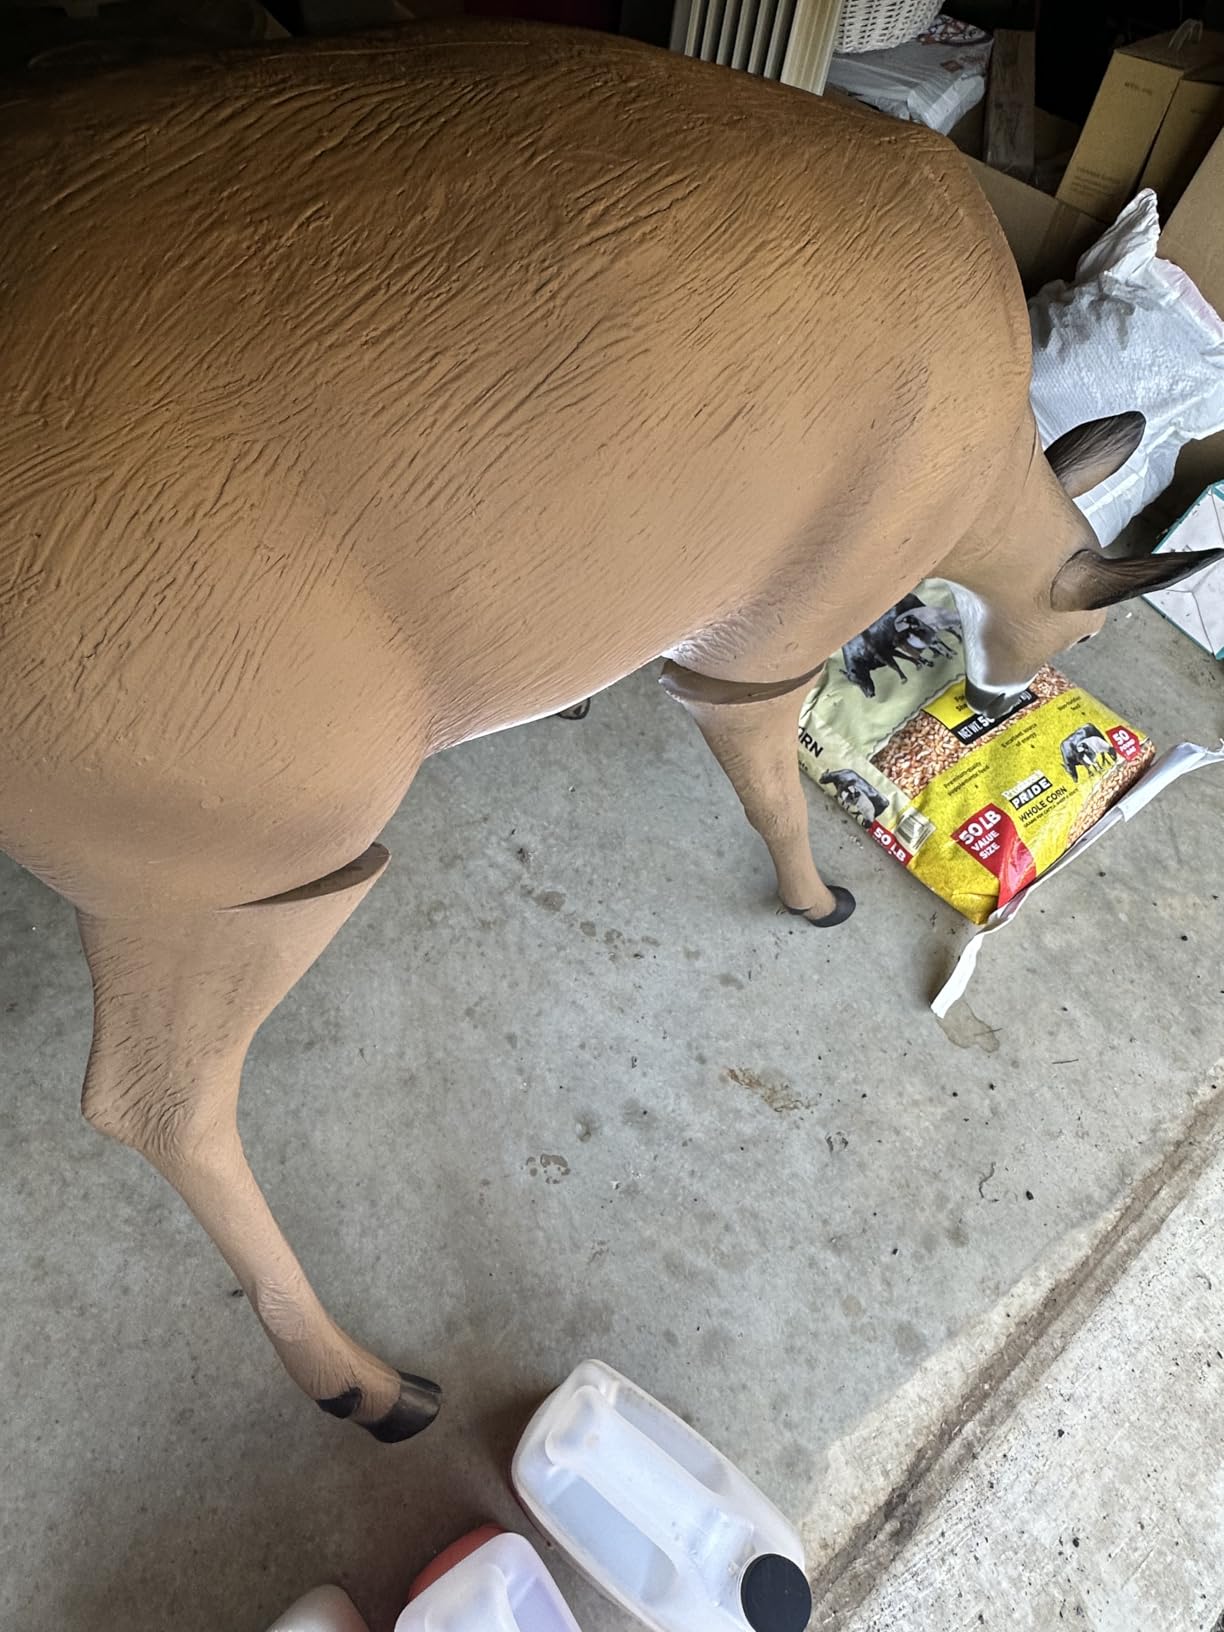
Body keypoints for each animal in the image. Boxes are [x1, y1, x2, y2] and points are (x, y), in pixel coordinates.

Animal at [1, 23, 1217, 1443]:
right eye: (1089, 627)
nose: (1012, 698)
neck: (984, 462)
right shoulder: (762, 640)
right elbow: (762, 776)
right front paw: (815, 900)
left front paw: (581, 700)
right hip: (253, 864)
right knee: (149, 1099)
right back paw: (371, 1384)